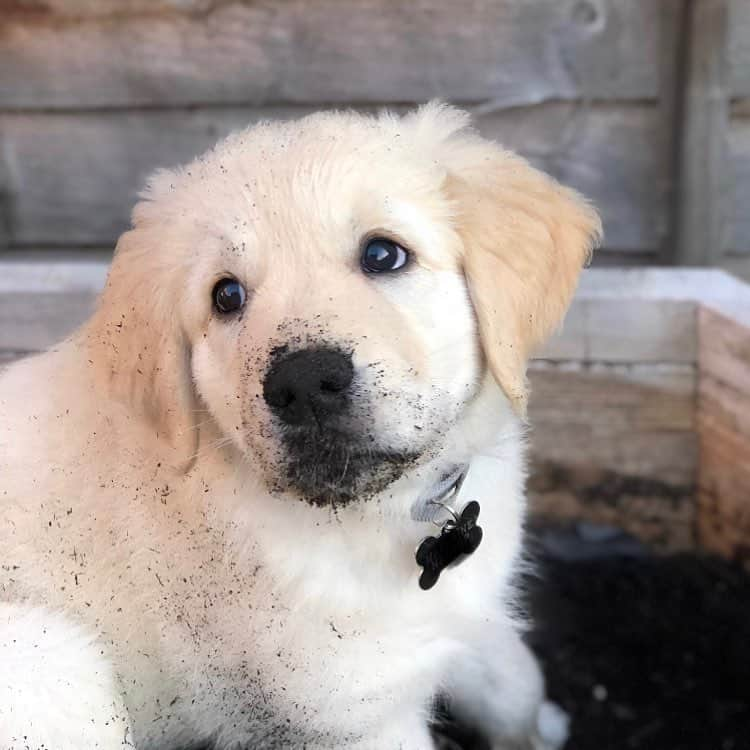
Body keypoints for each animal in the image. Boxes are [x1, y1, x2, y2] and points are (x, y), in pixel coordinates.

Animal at [0, 103, 604, 748]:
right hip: (60, 662)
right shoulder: (351, 715)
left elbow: (512, 681)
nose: (305, 385)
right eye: (226, 296)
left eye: (383, 255)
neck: (387, 510)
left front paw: (542, 725)